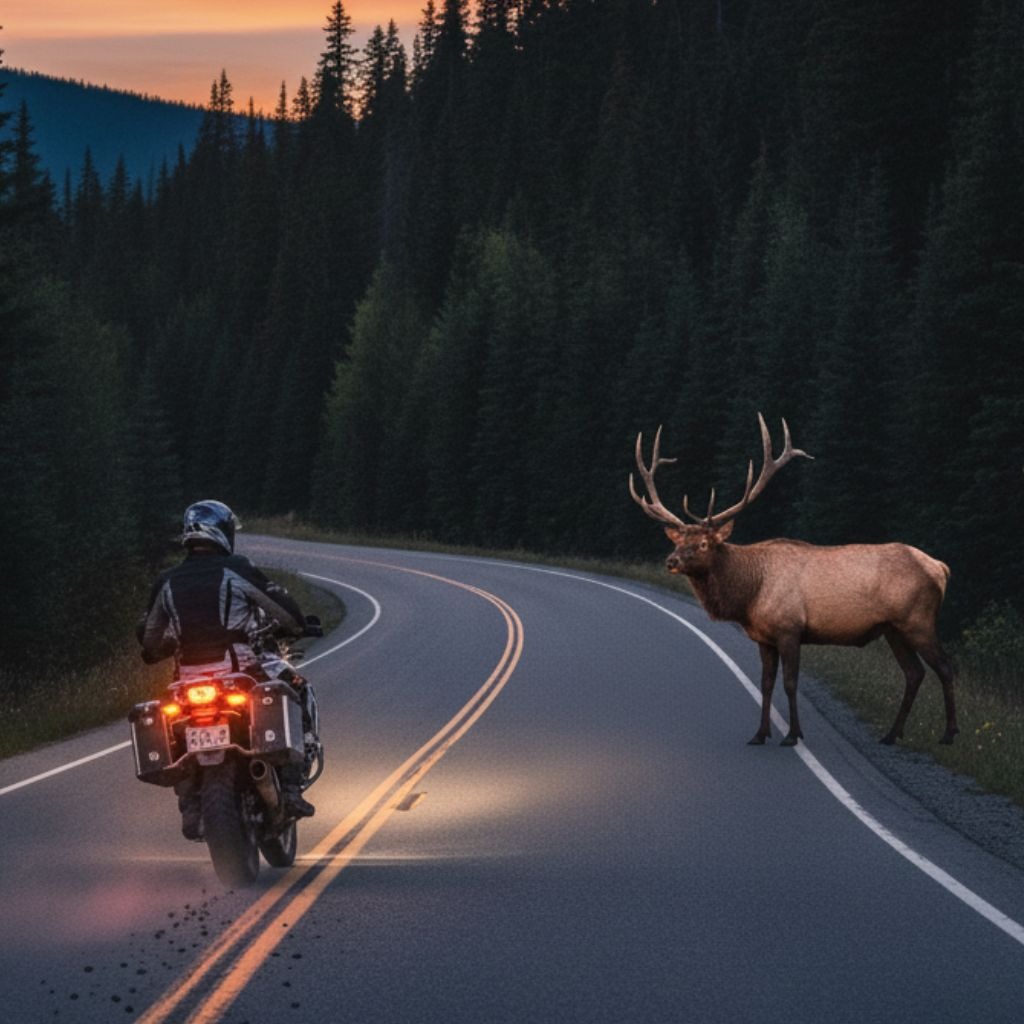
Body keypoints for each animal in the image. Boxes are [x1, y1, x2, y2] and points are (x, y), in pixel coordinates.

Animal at [629, 414, 958, 748]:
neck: (749, 594)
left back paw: (948, 734)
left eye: (704, 543)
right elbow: (766, 684)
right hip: (894, 629)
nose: (671, 561)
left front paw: (792, 734)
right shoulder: (764, 637)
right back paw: (891, 734)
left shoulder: (790, 628)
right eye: (679, 540)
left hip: (918, 620)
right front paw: (760, 734)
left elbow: (789, 683)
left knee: (945, 667)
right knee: (914, 673)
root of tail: (941, 568)